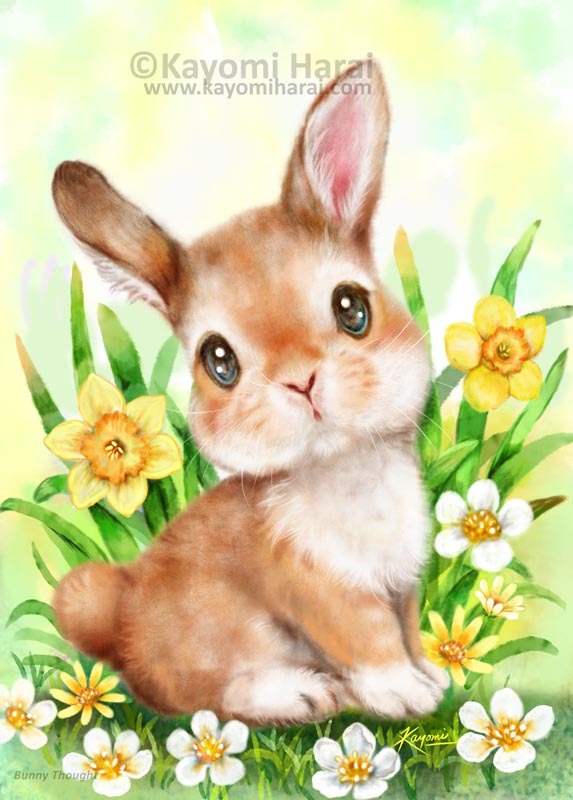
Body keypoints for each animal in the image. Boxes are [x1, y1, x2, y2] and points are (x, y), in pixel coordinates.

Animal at [50, 58, 449, 726]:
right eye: (219, 361)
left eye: (353, 308)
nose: (301, 381)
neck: (342, 468)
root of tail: (120, 620)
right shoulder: (322, 592)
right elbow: (370, 639)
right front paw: (405, 694)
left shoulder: (403, 584)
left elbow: (410, 630)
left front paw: (433, 677)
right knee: (207, 700)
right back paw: (302, 693)